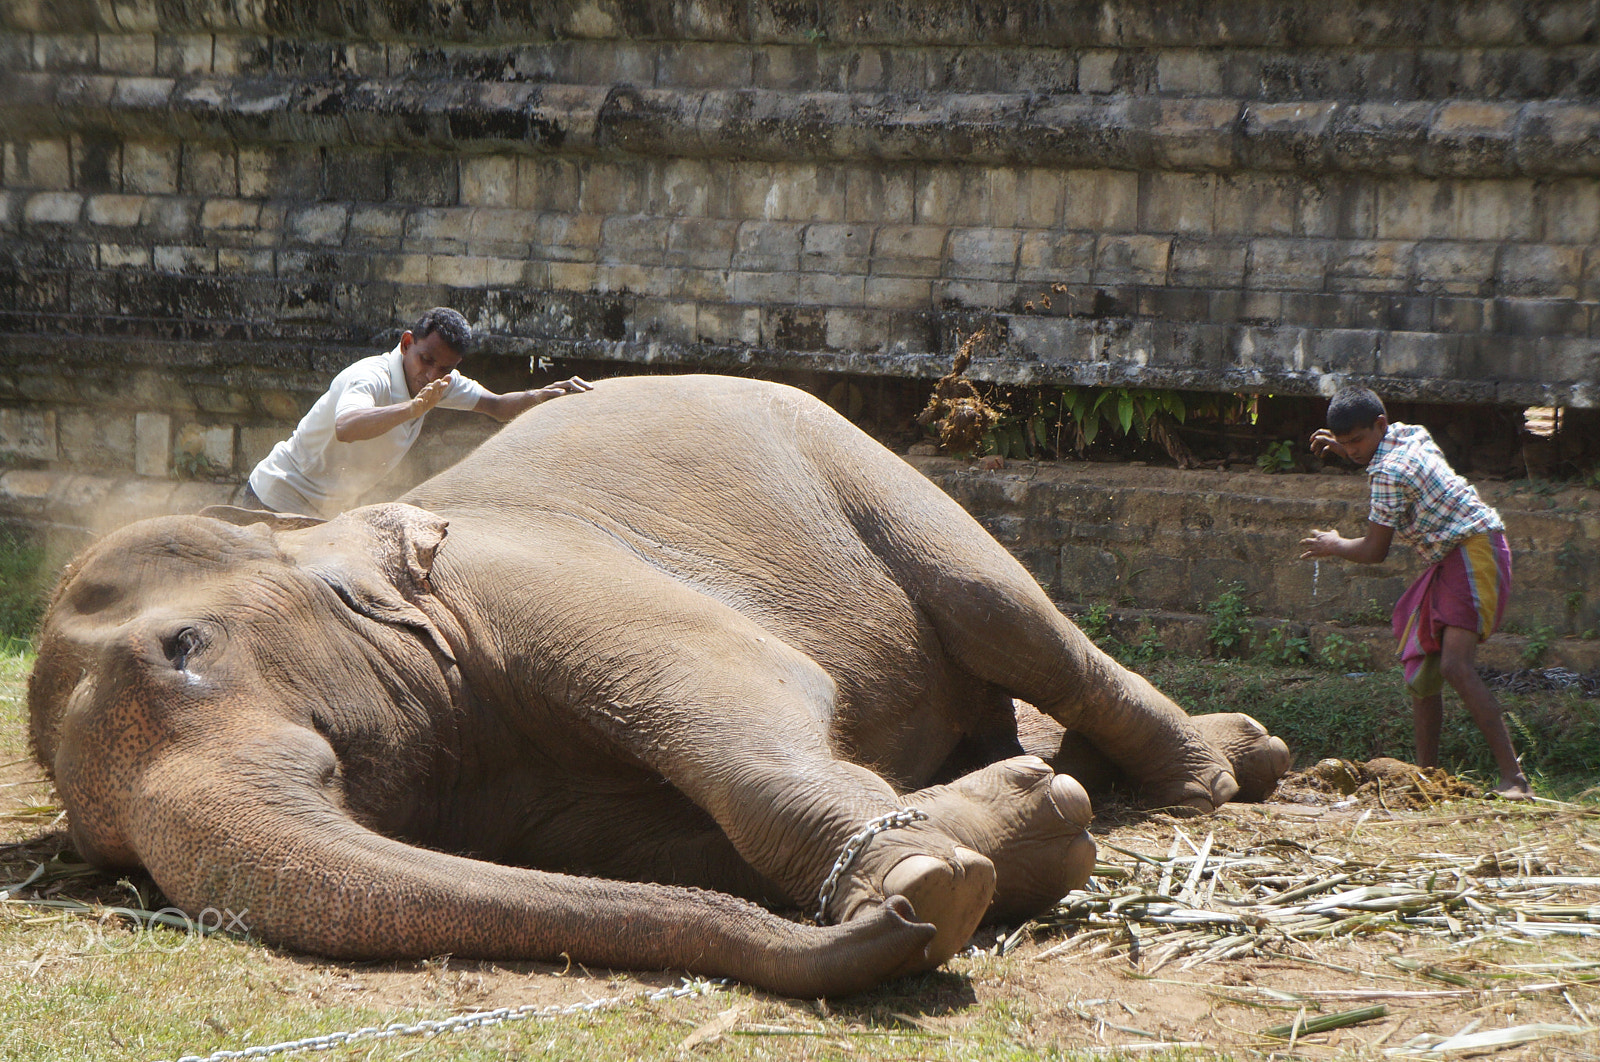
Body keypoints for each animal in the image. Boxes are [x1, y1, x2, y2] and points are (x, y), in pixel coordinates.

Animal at [28, 374, 1289, 998]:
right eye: (101, 855)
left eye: (182, 647)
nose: (884, 924)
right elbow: (649, 851)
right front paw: (1002, 839)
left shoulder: (543, 584)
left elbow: (742, 697)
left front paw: (931, 879)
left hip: (868, 468)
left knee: (1010, 618)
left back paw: (1222, 770)